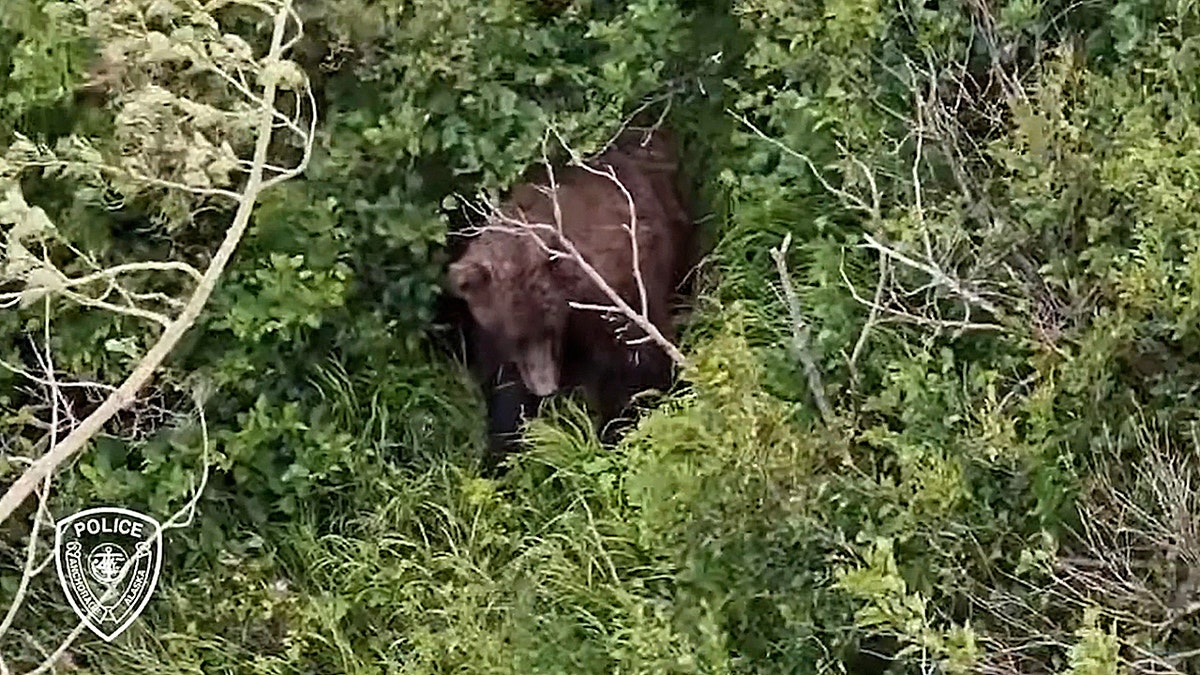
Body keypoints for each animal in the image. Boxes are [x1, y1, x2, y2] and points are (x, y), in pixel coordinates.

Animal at [445, 127, 696, 474]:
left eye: (548, 328)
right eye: (514, 336)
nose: (545, 387)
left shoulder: (612, 294)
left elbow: (636, 365)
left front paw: (617, 431)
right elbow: (503, 389)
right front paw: (500, 453)